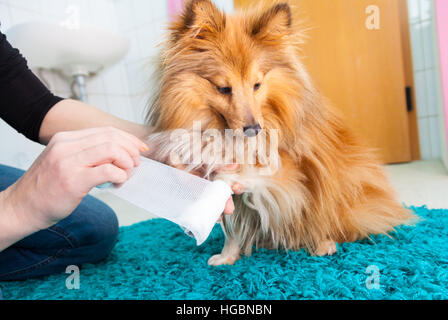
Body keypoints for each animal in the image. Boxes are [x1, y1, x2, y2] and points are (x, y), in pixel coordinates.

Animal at [146, 0, 416, 264]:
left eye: (257, 84)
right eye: (223, 88)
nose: (254, 130)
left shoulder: (292, 172)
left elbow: (248, 173)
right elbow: (232, 228)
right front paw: (226, 257)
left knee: (334, 224)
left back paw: (324, 244)